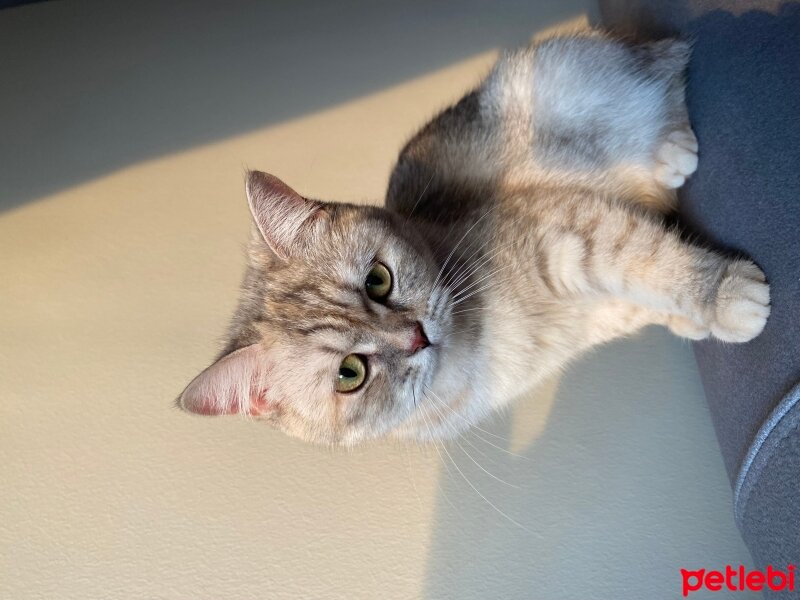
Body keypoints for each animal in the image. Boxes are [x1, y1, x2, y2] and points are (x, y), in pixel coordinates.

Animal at [177, 30, 768, 448]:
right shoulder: (594, 288)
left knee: (664, 69)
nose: (416, 336)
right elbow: (644, 286)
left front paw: (723, 296)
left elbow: (653, 262)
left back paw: (671, 149)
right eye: (349, 373)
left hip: (562, 86)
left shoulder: (569, 229)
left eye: (378, 280)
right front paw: (694, 318)